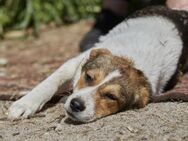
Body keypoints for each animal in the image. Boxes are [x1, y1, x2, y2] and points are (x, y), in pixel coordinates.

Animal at [8, 6, 187, 122]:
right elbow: (49, 83)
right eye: (88, 77)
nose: (76, 105)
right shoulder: (74, 63)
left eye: (111, 96)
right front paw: (24, 104)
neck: (131, 58)